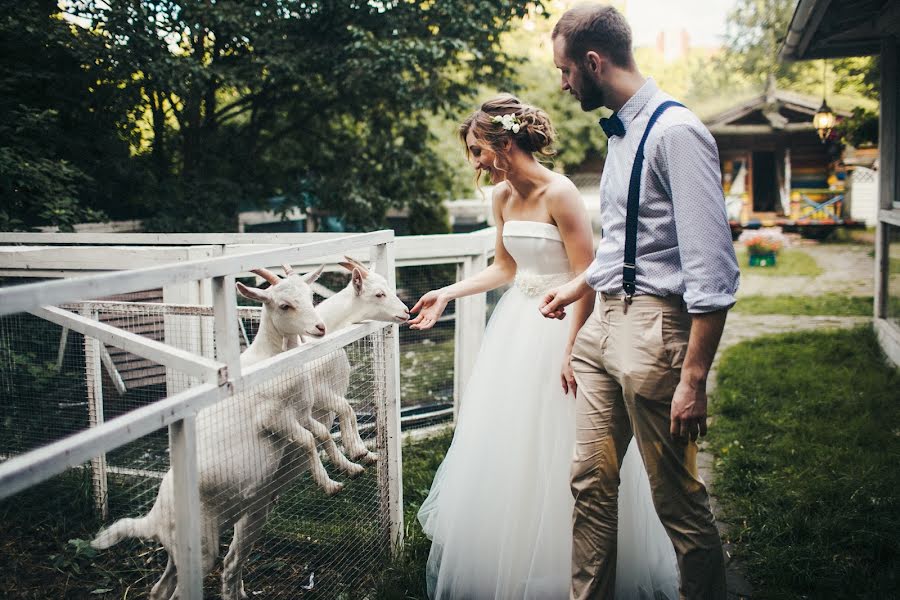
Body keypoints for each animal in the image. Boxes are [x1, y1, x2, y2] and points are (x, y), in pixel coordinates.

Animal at [91, 266, 334, 600]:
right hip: (201, 548)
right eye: (285, 305)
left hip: (187, 549)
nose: (320, 327)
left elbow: (322, 434)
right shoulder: (273, 419)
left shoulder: (301, 414)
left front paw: (353, 463)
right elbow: (310, 441)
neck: (271, 361)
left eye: (310, 295)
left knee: (159, 589)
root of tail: (153, 519)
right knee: (179, 591)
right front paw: (328, 484)